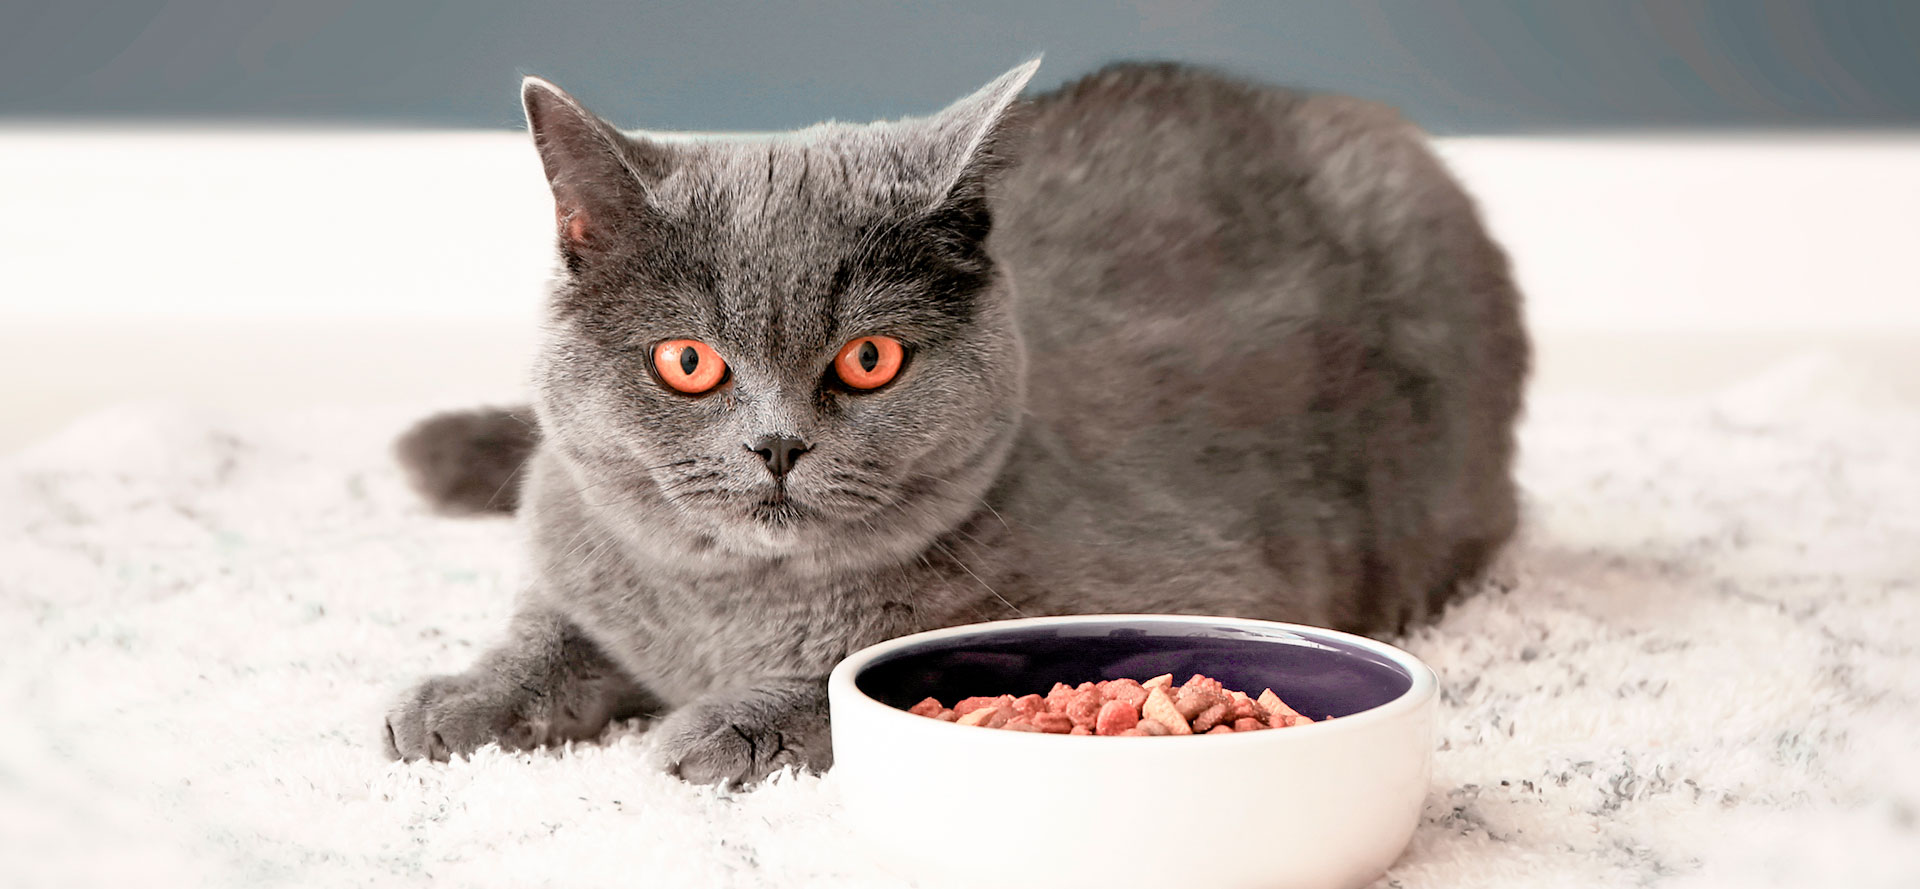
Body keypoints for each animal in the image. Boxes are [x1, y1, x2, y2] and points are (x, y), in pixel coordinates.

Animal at [382, 60, 1528, 787]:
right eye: (688, 362)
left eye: (869, 359)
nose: (776, 446)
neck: (732, 607)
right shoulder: (577, 534)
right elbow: (551, 627)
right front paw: (457, 700)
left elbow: (865, 668)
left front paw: (721, 727)